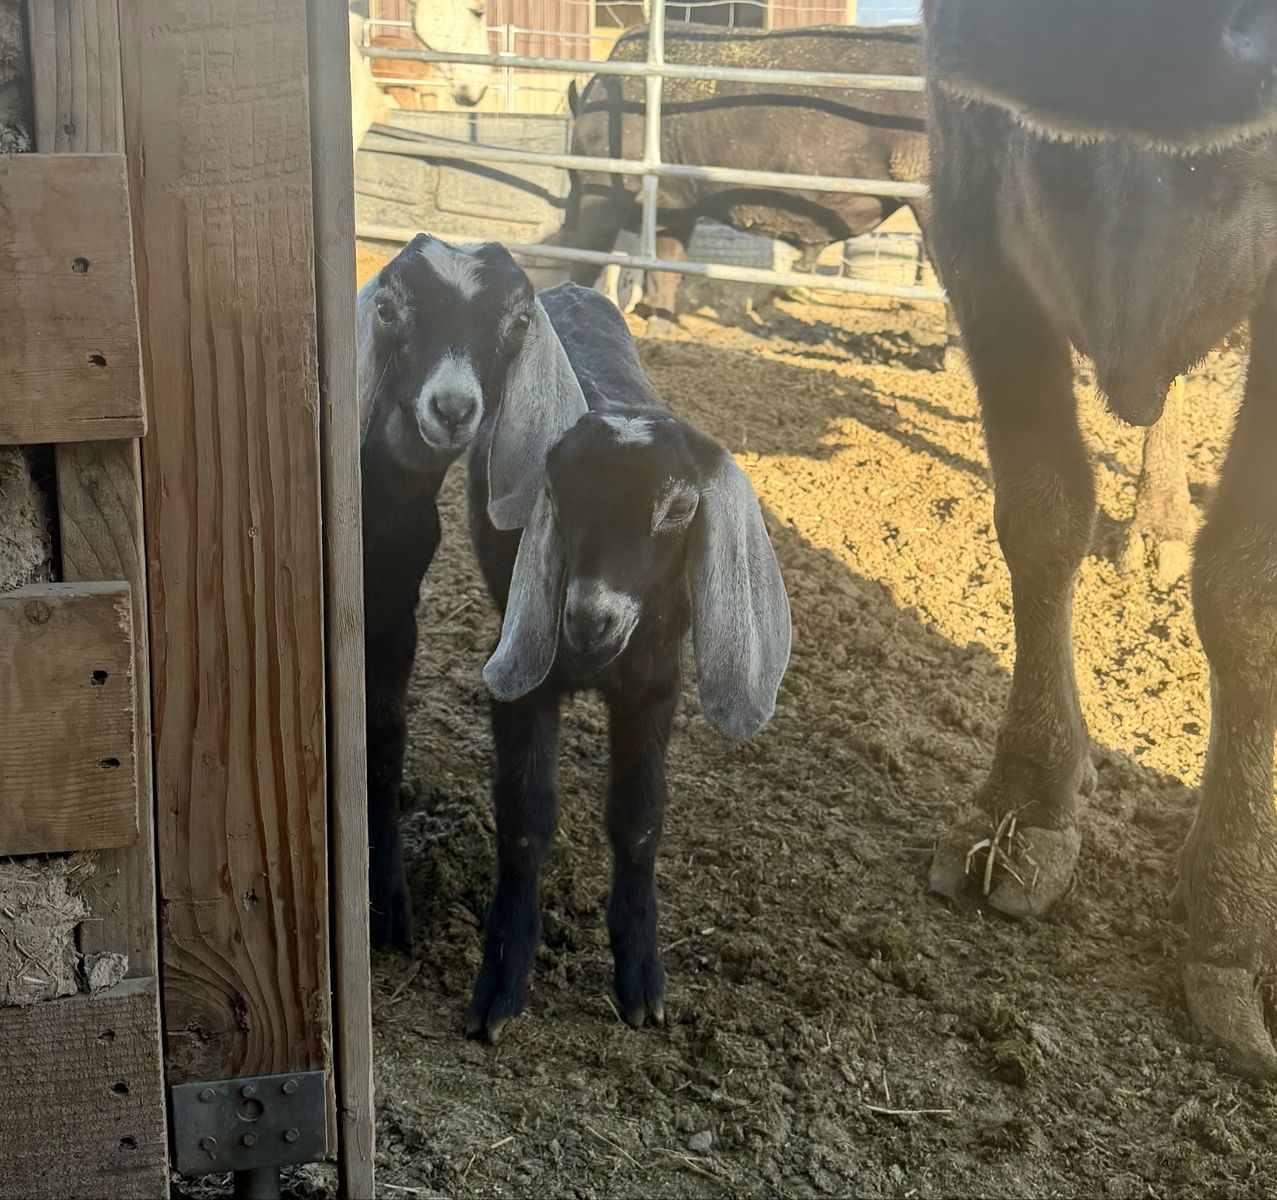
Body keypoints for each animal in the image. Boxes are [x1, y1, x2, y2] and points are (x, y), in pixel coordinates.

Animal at [359, 234, 564, 949]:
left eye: (519, 320)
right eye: (388, 308)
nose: (451, 410)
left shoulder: (396, 609)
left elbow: (386, 734)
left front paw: (387, 900)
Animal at [463, 281, 791, 1041]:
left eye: (676, 511)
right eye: (561, 497)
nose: (591, 617)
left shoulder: (654, 686)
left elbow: (639, 820)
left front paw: (641, 978)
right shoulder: (521, 679)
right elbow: (523, 819)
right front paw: (502, 978)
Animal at [922, 0, 1277, 1076]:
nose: (1107, 43)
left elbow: (1245, 587)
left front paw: (1234, 915)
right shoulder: (967, 203)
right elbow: (1039, 512)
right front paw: (1027, 799)